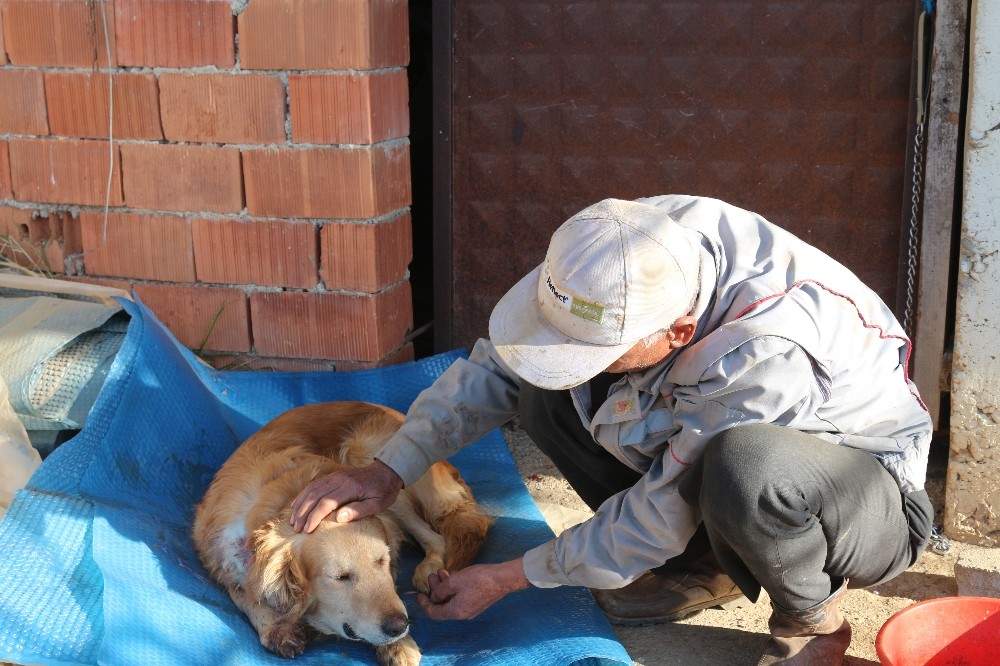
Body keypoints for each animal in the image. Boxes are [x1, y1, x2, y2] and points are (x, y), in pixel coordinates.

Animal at [191, 400, 492, 664]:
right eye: (341, 577)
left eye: (382, 561)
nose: (400, 626)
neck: (286, 500)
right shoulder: (220, 558)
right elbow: (243, 596)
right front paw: (275, 628)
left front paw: (398, 646)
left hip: (370, 460)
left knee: (436, 537)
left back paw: (428, 568)